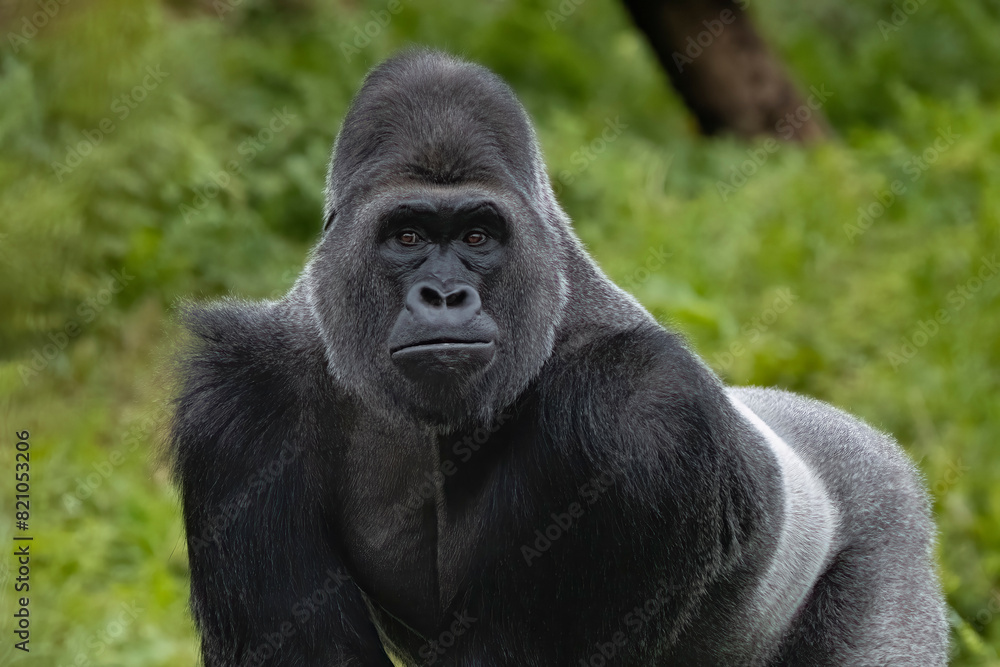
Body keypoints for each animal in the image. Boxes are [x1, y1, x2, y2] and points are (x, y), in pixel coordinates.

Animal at [170, 49, 948, 666]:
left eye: (479, 237)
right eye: (408, 235)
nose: (444, 294)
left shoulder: (640, 416)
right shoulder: (239, 408)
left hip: (889, 530)